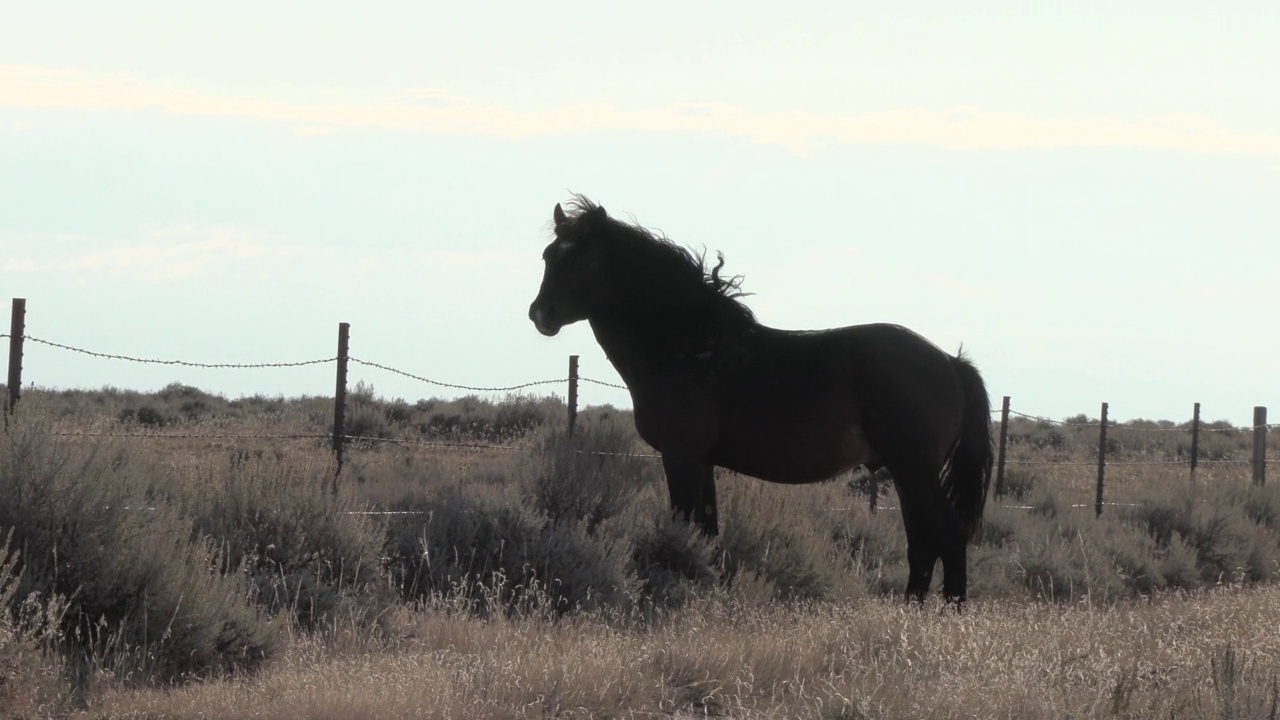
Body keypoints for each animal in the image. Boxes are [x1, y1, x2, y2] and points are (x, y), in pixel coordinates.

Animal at [524, 194, 993, 599]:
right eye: (549, 255)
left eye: (584, 257)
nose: (540, 314)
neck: (692, 347)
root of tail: (951, 362)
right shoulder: (702, 461)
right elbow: (707, 531)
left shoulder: (681, 456)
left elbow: (684, 526)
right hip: (907, 473)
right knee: (923, 542)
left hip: (913, 469)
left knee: (947, 536)